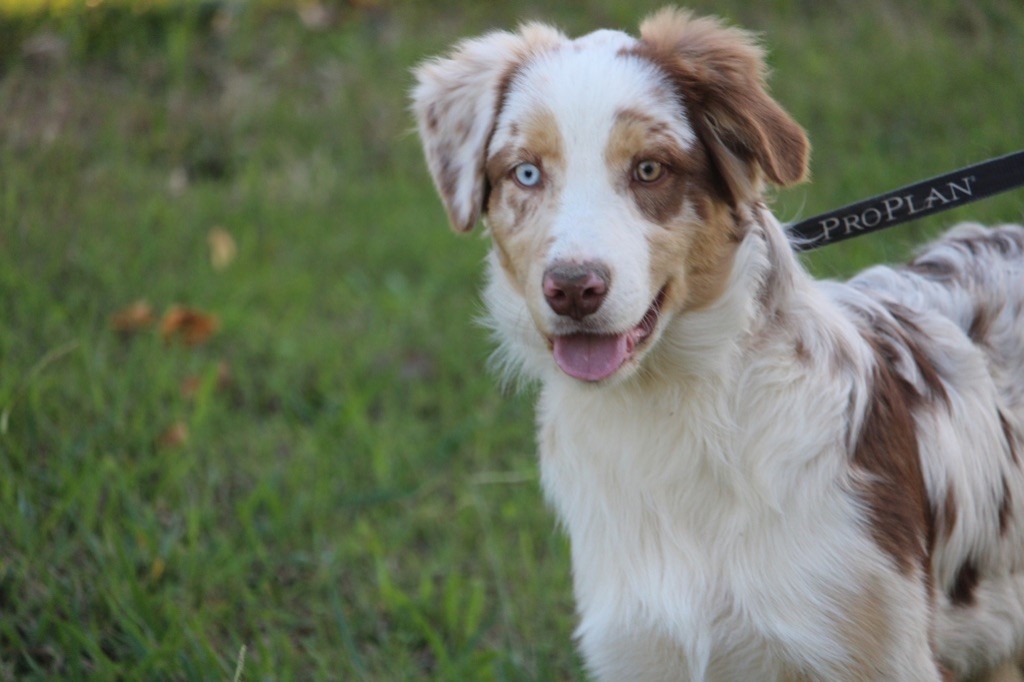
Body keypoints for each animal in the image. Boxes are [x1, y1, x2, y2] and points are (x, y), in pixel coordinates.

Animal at [409, 7, 1024, 675]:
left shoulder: (875, 649)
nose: (572, 289)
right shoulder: (642, 646)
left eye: (649, 168)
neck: (670, 411)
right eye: (526, 172)